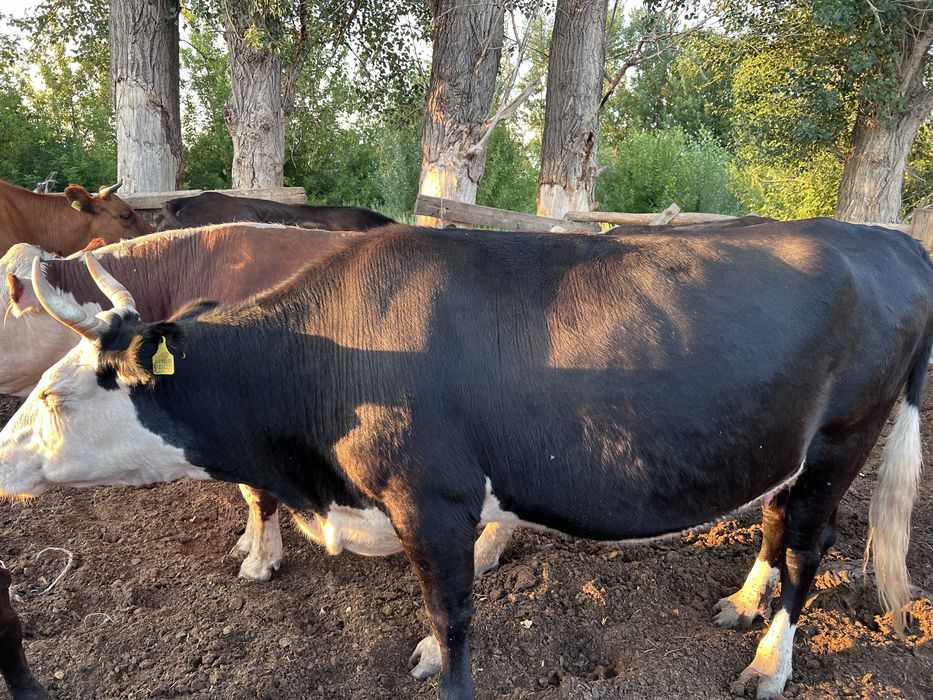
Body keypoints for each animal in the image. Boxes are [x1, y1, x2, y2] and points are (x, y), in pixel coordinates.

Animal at [0, 219, 930, 699]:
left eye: (48, 398)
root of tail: (882, 236)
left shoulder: (433, 502)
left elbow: (453, 622)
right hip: (782, 447)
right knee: (771, 522)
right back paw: (741, 604)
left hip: (842, 441)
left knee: (809, 551)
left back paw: (770, 663)